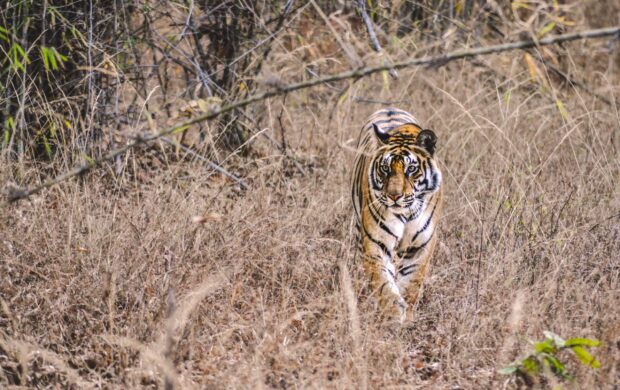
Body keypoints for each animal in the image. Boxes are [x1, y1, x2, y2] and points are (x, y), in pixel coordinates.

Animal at [352, 107, 444, 322]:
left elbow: (412, 283)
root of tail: (389, 108)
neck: (407, 213)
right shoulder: (376, 242)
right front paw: (393, 312)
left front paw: (407, 315)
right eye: (385, 168)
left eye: (411, 169)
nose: (394, 196)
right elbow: (382, 282)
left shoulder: (421, 246)